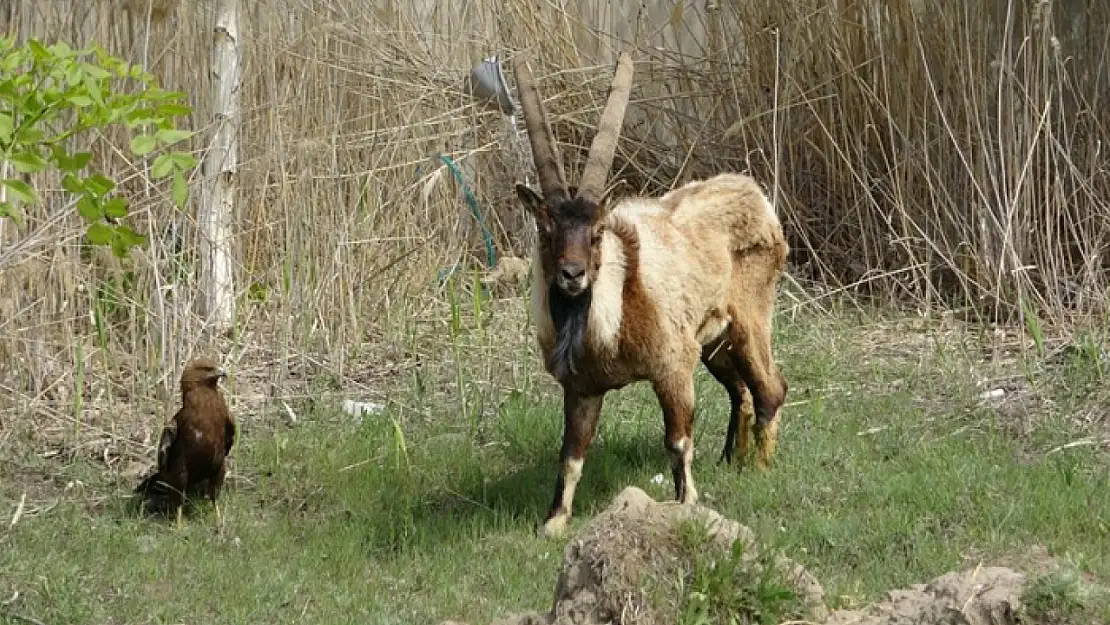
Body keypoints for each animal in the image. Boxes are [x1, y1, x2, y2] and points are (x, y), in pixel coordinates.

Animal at [510, 51, 790, 537]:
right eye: (546, 231)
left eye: (597, 232)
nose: (571, 275)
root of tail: (757, 198)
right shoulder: (582, 387)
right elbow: (571, 456)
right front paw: (554, 523)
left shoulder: (673, 366)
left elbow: (677, 440)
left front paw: (687, 504)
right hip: (713, 343)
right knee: (740, 391)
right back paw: (731, 459)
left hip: (749, 319)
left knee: (771, 388)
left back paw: (759, 468)